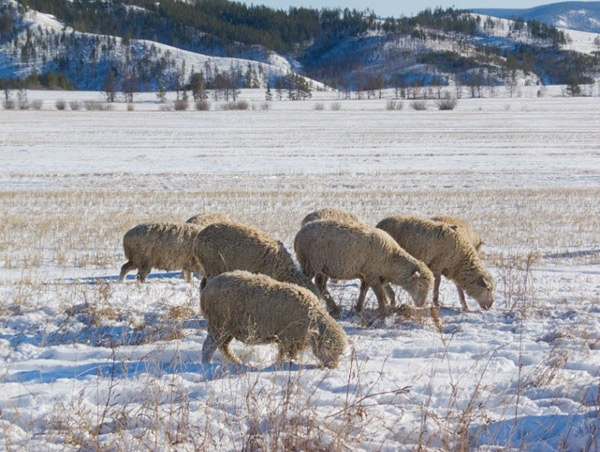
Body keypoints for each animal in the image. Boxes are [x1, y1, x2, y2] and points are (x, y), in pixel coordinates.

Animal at [202, 270, 346, 370]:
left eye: (340, 353)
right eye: (328, 348)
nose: (332, 367)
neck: (312, 315)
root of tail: (207, 289)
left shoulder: (285, 339)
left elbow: (281, 354)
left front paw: (278, 364)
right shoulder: (289, 338)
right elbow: (291, 356)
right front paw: (290, 364)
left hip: (229, 328)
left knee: (224, 347)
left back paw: (237, 362)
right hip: (219, 324)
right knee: (208, 347)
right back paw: (206, 365)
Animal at [292, 221, 434, 316]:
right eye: (420, 285)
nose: (422, 305)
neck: (391, 259)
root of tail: (298, 234)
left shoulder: (366, 274)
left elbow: (363, 290)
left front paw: (359, 308)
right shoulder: (372, 274)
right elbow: (379, 294)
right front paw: (383, 311)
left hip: (324, 267)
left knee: (320, 284)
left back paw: (335, 308)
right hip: (310, 263)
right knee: (305, 281)